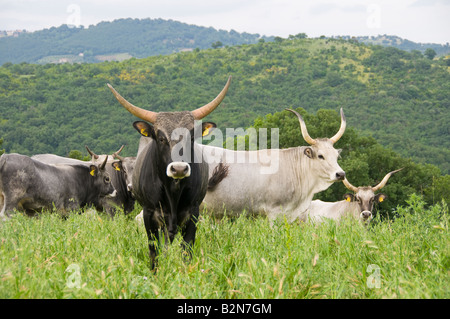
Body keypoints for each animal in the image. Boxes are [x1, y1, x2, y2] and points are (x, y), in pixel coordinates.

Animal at [107, 76, 230, 268]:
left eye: (191, 138)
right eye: (161, 138)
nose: (178, 168)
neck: (173, 191)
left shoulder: (192, 214)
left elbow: (186, 250)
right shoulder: (149, 215)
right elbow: (154, 250)